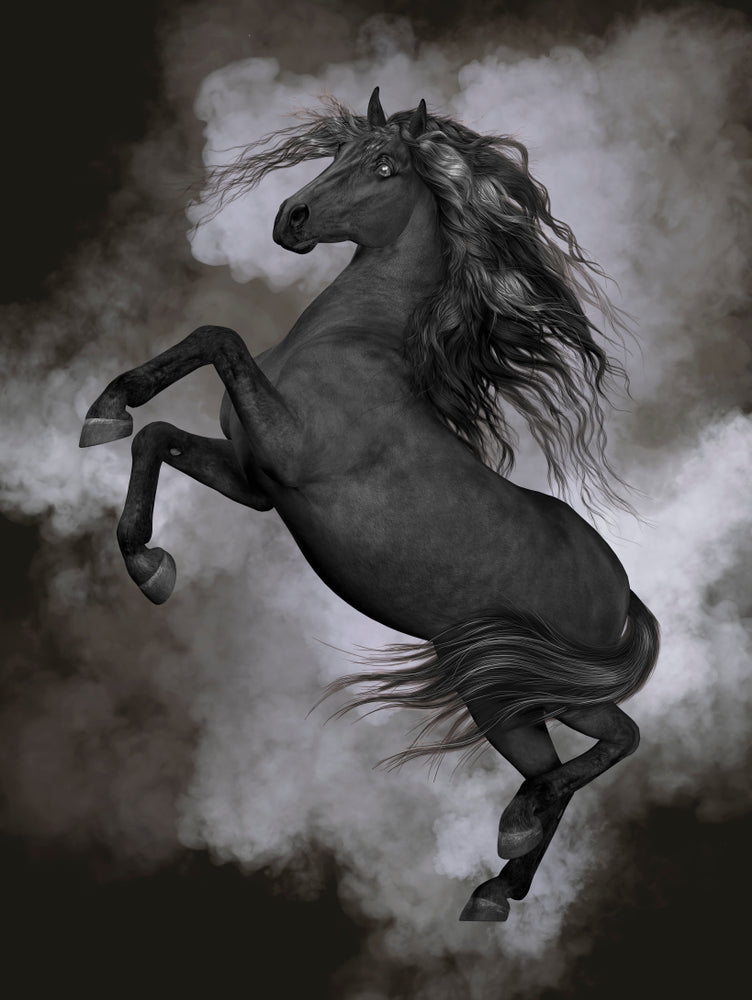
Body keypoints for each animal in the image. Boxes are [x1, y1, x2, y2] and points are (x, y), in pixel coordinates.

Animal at [79, 87, 659, 921]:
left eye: (385, 166)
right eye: (335, 154)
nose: (290, 217)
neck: (354, 342)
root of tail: (624, 594)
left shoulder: (288, 451)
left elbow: (217, 335)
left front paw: (111, 412)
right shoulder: (257, 483)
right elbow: (155, 435)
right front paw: (145, 550)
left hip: (522, 688)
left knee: (614, 743)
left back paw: (514, 829)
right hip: (516, 694)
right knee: (584, 755)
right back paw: (496, 888)